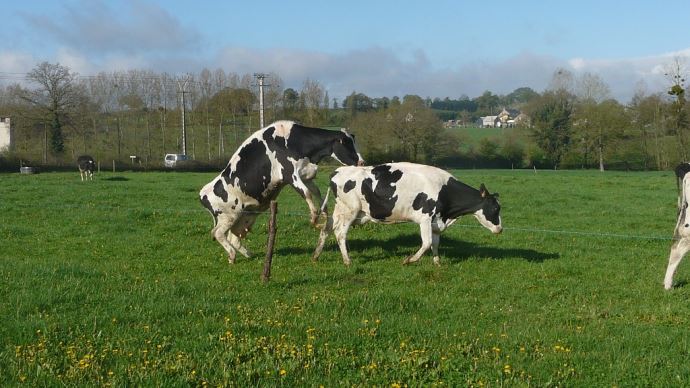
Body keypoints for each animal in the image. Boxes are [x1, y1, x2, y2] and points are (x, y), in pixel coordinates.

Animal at [312, 161, 500, 266]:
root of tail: (338, 171)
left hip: (340, 211)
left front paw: (437, 263)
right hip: (350, 211)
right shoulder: (425, 219)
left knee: (326, 229)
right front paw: (409, 260)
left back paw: (316, 255)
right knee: (340, 233)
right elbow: (426, 243)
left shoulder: (436, 222)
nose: (500, 229)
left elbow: (435, 243)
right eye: (495, 209)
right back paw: (347, 261)